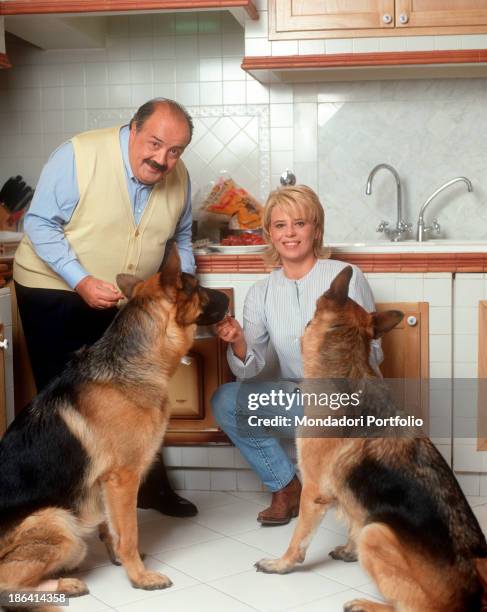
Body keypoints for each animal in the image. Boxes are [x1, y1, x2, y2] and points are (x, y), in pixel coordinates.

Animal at [0, 246, 229, 604]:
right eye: (197, 287)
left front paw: (120, 560)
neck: (133, 362)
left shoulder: (107, 486)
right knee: (7, 582)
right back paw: (62, 585)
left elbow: (113, 530)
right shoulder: (123, 479)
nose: (229, 299)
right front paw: (140, 577)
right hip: (60, 521)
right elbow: (130, 533)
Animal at [255, 266, 487, 612]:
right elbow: (354, 517)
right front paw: (348, 550)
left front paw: (281, 564)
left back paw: (368, 604)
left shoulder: (313, 492)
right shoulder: (348, 499)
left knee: (410, 607)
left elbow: (298, 540)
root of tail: (476, 595)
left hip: (377, 534)